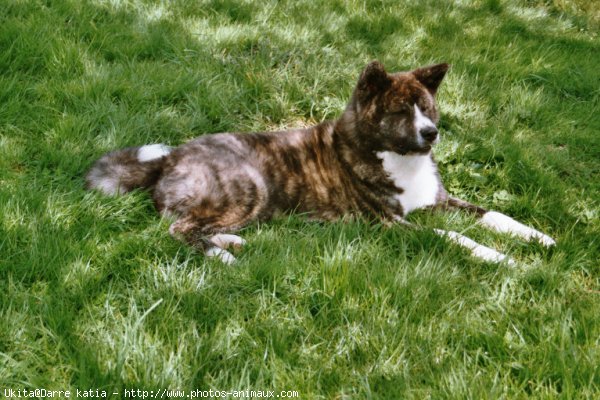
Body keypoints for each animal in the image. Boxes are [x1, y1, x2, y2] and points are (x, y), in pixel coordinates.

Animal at [86, 61, 556, 264]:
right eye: (399, 111)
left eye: (426, 107)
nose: (431, 134)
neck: (396, 158)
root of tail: (169, 159)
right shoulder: (390, 224)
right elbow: (456, 237)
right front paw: (499, 258)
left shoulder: (440, 202)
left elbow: (494, 214)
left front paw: (538, 237)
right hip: (249, 186)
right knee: (177, 229)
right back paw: (224, 257)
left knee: (194, 226)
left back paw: (230, 242)